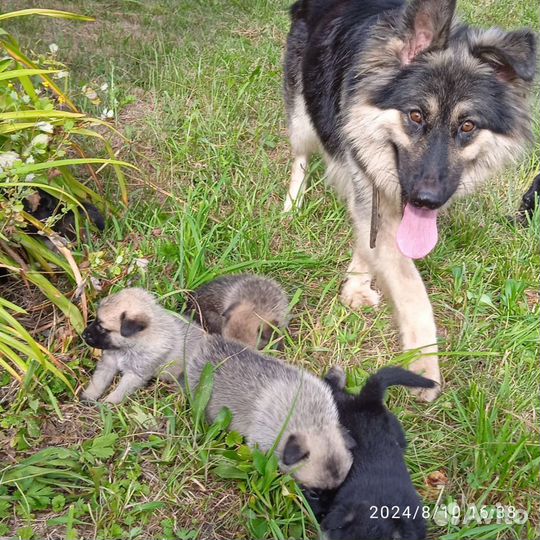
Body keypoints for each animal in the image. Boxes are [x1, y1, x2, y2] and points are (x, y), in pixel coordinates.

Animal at [284, 0, 536, 398]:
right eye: (415, 115)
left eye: (467, 126)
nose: (426, 200)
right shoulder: (371, 183)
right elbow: (411, 287)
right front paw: (424, 364)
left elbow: (369, 242)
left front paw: (357, 283)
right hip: (302, 116)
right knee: (300, 157)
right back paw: (291, 204)